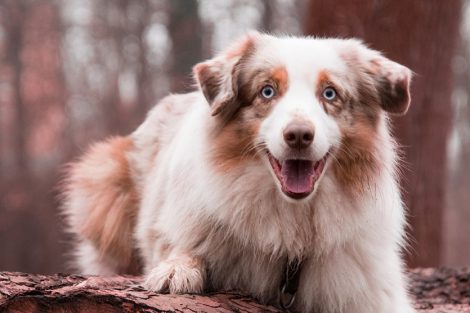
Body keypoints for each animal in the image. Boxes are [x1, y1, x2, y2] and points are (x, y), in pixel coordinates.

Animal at [63, 31, 414, 312]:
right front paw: (176, 271)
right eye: (267, 91)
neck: (293, 224)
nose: (299, 135)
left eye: (330, 93)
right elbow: (181, 247)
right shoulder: (179, 224)